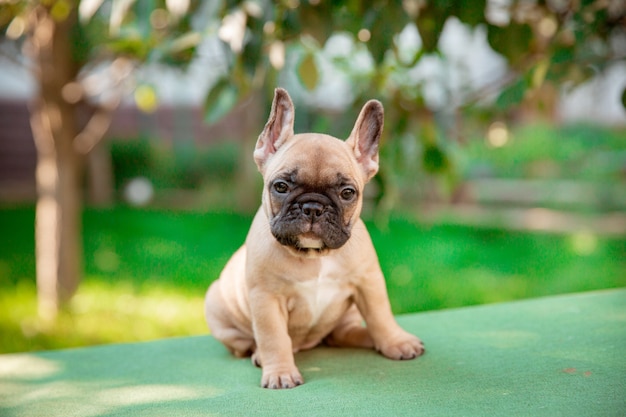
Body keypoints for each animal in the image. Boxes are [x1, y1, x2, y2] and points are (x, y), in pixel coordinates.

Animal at [205, 86, 424, 388]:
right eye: (281, 186)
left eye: (347, 193)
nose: (312, 207)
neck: (314, 255)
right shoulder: (266, 299)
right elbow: (273, 337)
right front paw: (280, 372)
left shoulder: (368, 282)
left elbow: (380, 315)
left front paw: (395, 341)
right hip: (216, 305)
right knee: (247, 344)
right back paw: (260, 355)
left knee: (344, 333)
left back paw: (369, 338)